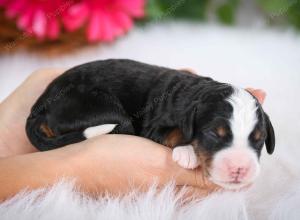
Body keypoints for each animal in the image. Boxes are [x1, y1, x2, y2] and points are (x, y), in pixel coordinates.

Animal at [25, 58, 274, 189]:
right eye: (214, 134)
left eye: (259, 140)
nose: (240, 168)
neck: (196, 92)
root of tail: (39, 106)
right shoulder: (155, 126)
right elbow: (175, 133)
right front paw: (187, 152)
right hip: (99, 106)